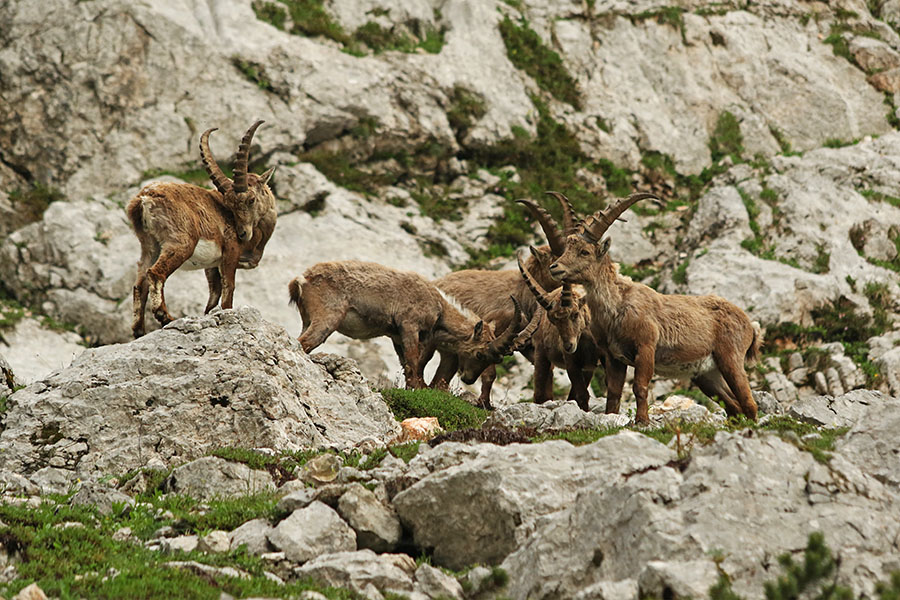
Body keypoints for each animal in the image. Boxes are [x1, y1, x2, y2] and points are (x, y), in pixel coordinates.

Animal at [127, 120, 276, 337]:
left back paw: (139, 330)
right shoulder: (230, 254)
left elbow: (213, 298)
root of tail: (144, 198)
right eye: (230, 204)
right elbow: (228, 290)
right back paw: (165, 317)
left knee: (139, 284)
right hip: (181, 243)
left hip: (149, 246)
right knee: (155, 274)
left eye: (251, 199)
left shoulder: (211, 266)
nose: (242, 234)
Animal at [287, 260, 528, 389]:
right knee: (305, 342)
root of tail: (301, 280)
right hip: (327, 318)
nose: (468, 379)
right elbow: (414, 361)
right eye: (479, 354)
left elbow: (408, 364)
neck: (439, 307)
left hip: (307, 319)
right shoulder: (409, 326)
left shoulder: (396, 336)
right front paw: (418, 389)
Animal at [517, 252, 601, 410]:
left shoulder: (589, 366)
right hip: (541, 354)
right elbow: (582, 395)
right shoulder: (572, 363)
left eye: (575, 314)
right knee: (539, 394)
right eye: (553, 321)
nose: (567, 346)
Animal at [544, 192, 761, 424]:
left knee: (748, 402)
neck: (617, 307)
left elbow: (640, 387)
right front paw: (611, 418)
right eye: (568, 248)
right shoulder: (614, 357)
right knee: (733, 405)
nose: (555, 267)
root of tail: (750, 325)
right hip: (707, 374)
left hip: (730, 358)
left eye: (584, 251)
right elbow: (614, 393)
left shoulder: (646, 346)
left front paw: (642, 420)